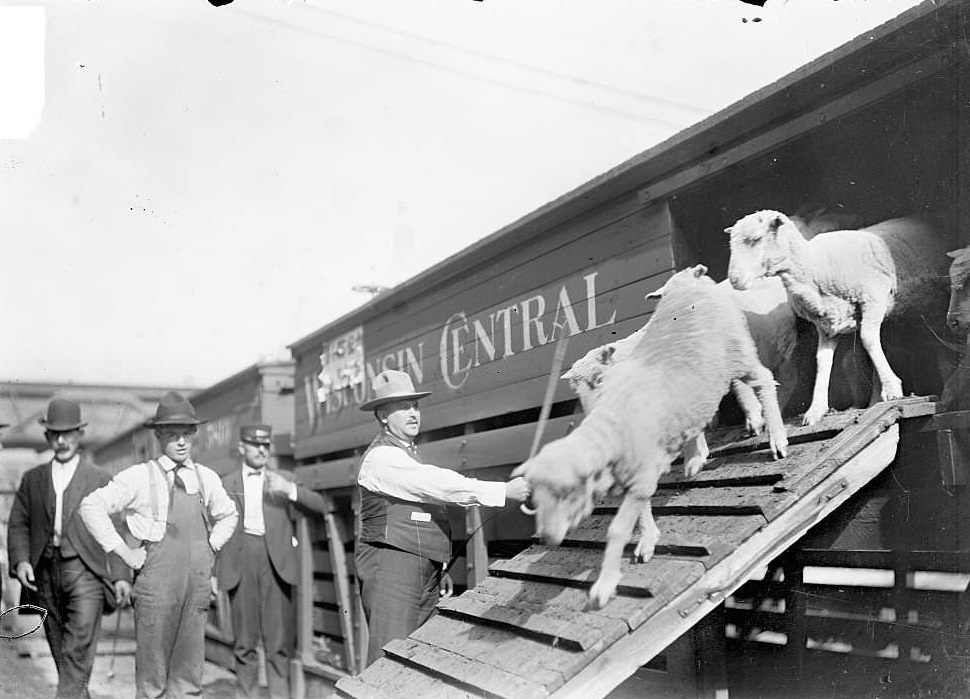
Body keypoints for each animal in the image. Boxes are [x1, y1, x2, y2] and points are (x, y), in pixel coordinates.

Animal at [516, 266, 788, 608]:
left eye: (599, 380)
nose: (549, 538)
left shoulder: (642, 472)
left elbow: (619, 528)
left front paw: (605, 585)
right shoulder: (636, 476)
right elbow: (640, 511)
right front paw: (647, 539)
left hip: (739, 352)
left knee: (764, 380)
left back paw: (776, 437)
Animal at [728, 209, 944, 426]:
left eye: (756, 238)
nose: (734, 280)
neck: (813, 266)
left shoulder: (873, 299)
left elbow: (868, 340)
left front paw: (892, 388)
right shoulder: (827, 324)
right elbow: (822, 361)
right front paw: (816, 410)